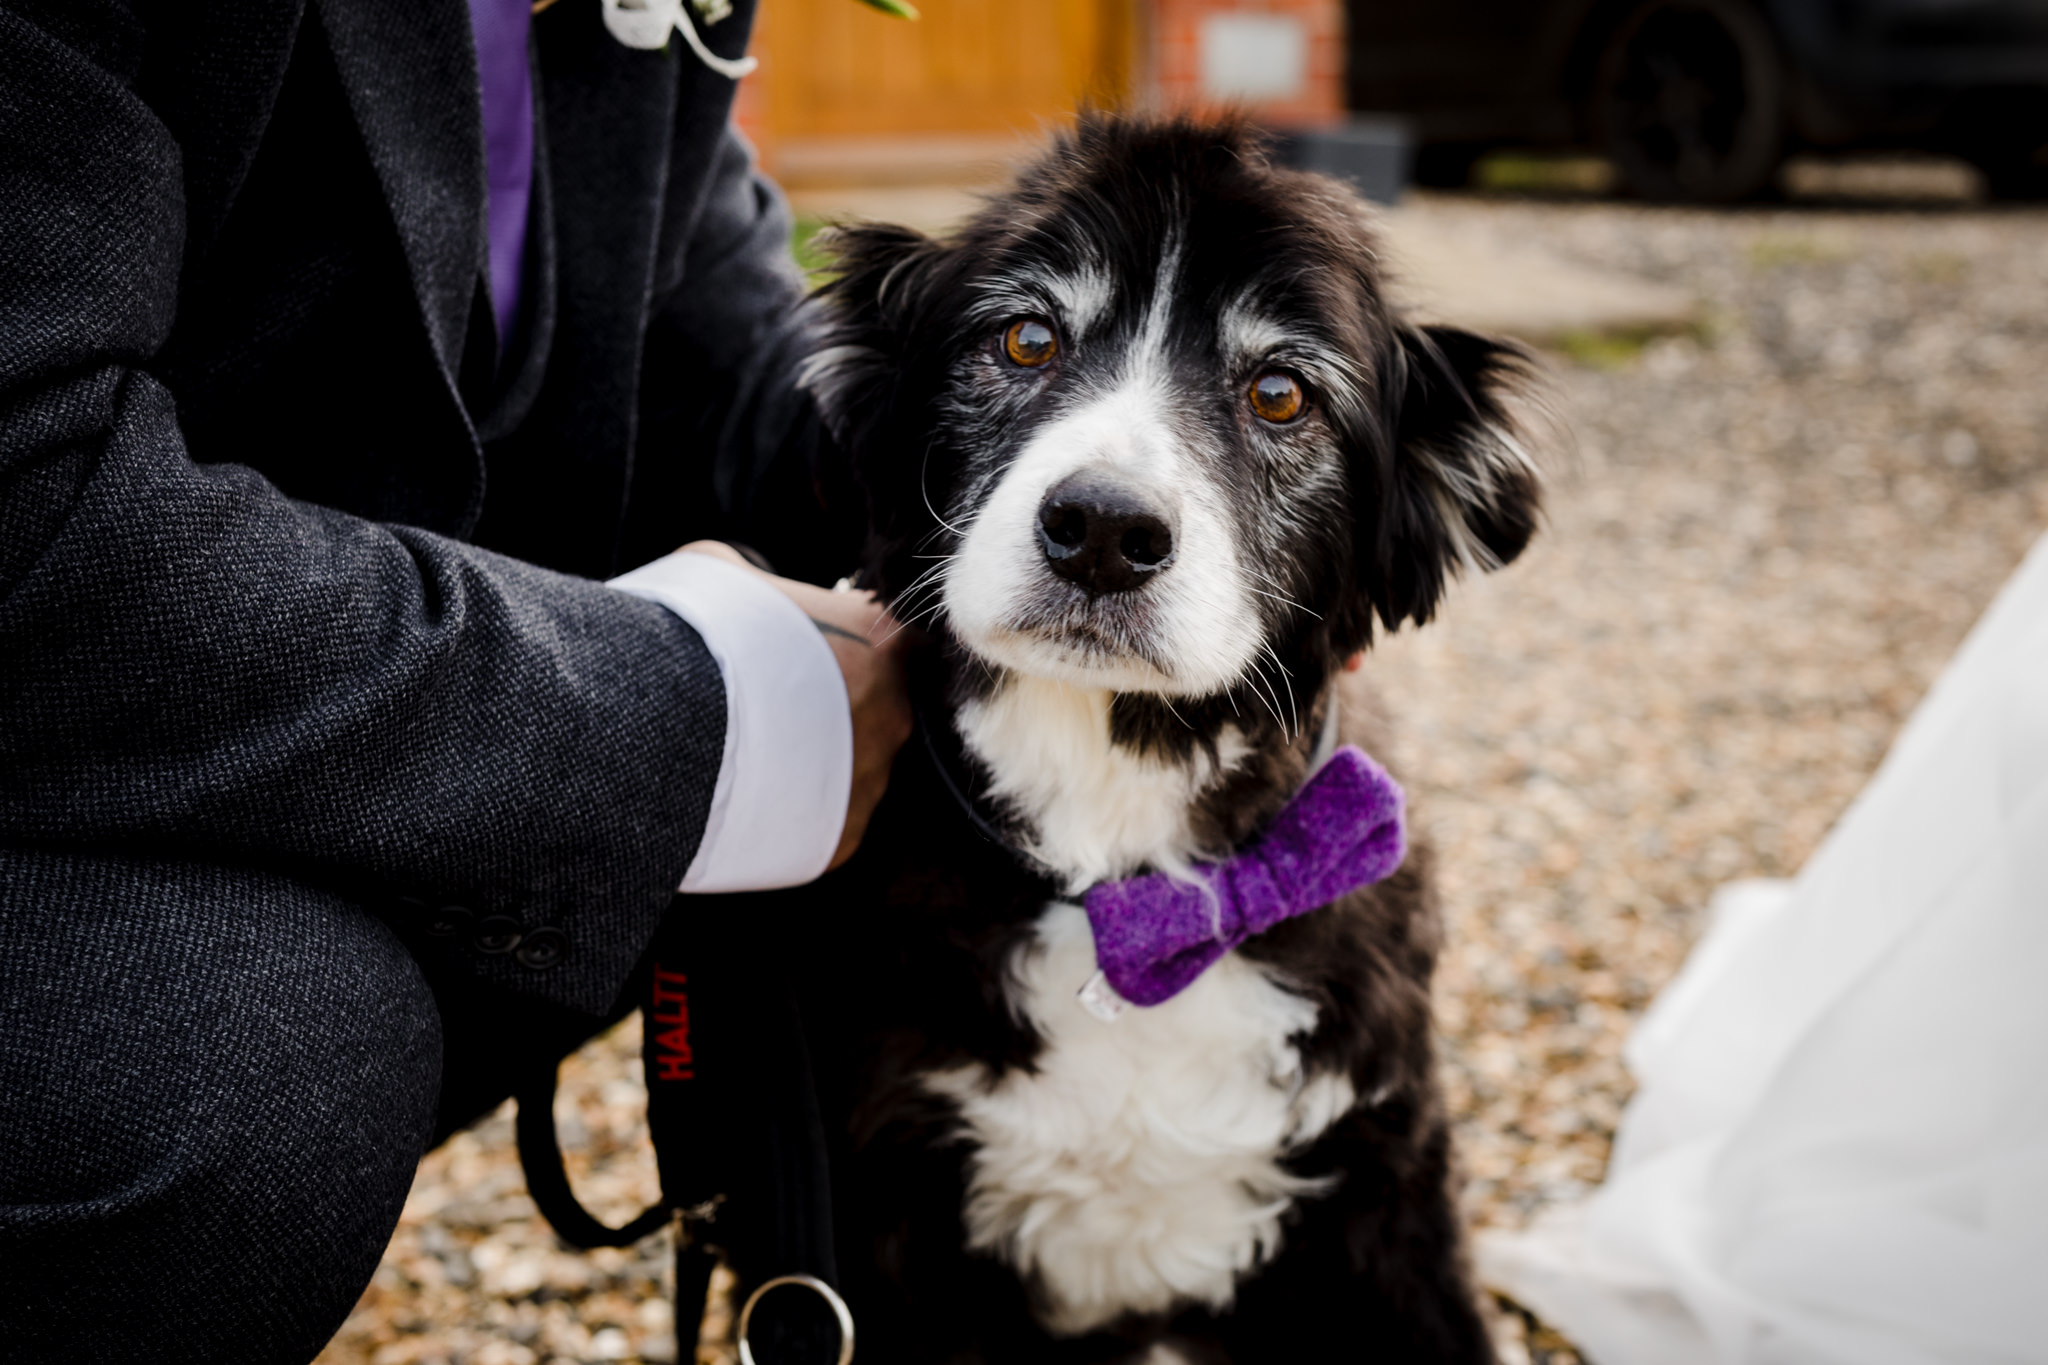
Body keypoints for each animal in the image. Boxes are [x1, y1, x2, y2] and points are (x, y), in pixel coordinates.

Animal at [774, 120, 1540, 1365]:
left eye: (1278, 393)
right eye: (1025, 338)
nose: (1100, 529)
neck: (1133, 882)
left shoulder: (1385, 1178)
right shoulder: (891, 1217)